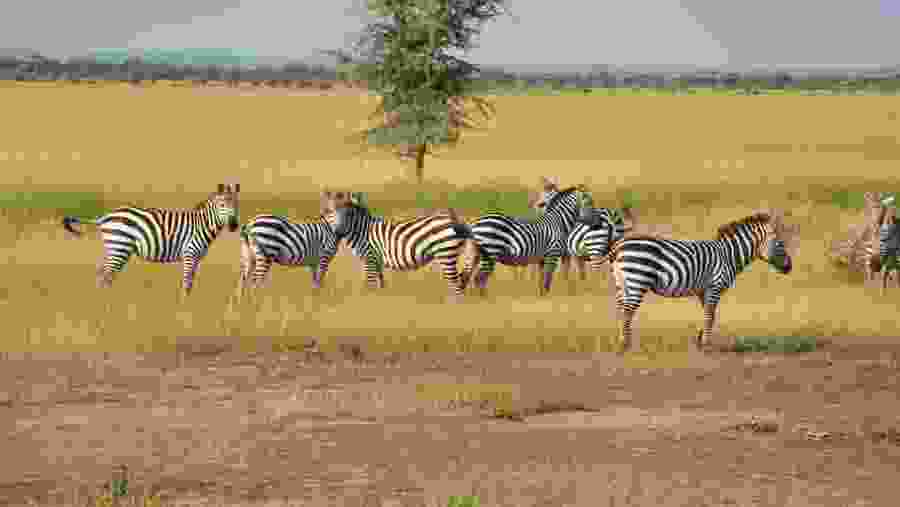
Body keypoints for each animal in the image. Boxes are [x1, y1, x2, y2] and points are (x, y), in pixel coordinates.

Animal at [61, 184, 241, 298]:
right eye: (222, 205)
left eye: (237, 205)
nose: (234, 225)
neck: (203, 224)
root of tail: (104, 217)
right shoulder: (190, 254)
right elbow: (186, 283)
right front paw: (184, 306)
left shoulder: (196, 258)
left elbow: (190, 283)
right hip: (119, 246)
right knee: (106, 275)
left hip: (114, 248)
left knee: (101, 275)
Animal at [320, 190, 472, 302]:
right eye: (328, 211)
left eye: (347, 213)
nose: (337, 232)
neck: (362, 231)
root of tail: (454, 218)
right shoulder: (377, 261)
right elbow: (381, 284)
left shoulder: (370, 258)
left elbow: (370, 285)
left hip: (445, 253)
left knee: (456, 286)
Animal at [460, 179, 596, 298]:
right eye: (590, 203)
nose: (597, 222)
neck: (558, 222)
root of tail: (475, 224)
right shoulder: (553, 255)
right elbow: (548, 280)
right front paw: (547, 298)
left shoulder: (542, 258)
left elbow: (541, 280)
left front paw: (542, 297)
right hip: (490, 253)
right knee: (479, 278)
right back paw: (486, 300)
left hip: (475, 254)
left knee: (466, 276)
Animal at [612, 210, 796, 354]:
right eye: (780, 244)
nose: (789, 268)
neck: (728, 255)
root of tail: (619, 245)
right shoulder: (715, 286)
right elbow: (710, 316)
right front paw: (706, 344)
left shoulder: (704, 290)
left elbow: (708, 315)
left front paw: (700, 340)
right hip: (637, 280)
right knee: (628, 311)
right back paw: (625, 345)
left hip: (622, 284)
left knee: (622, 310)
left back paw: (623, 342)